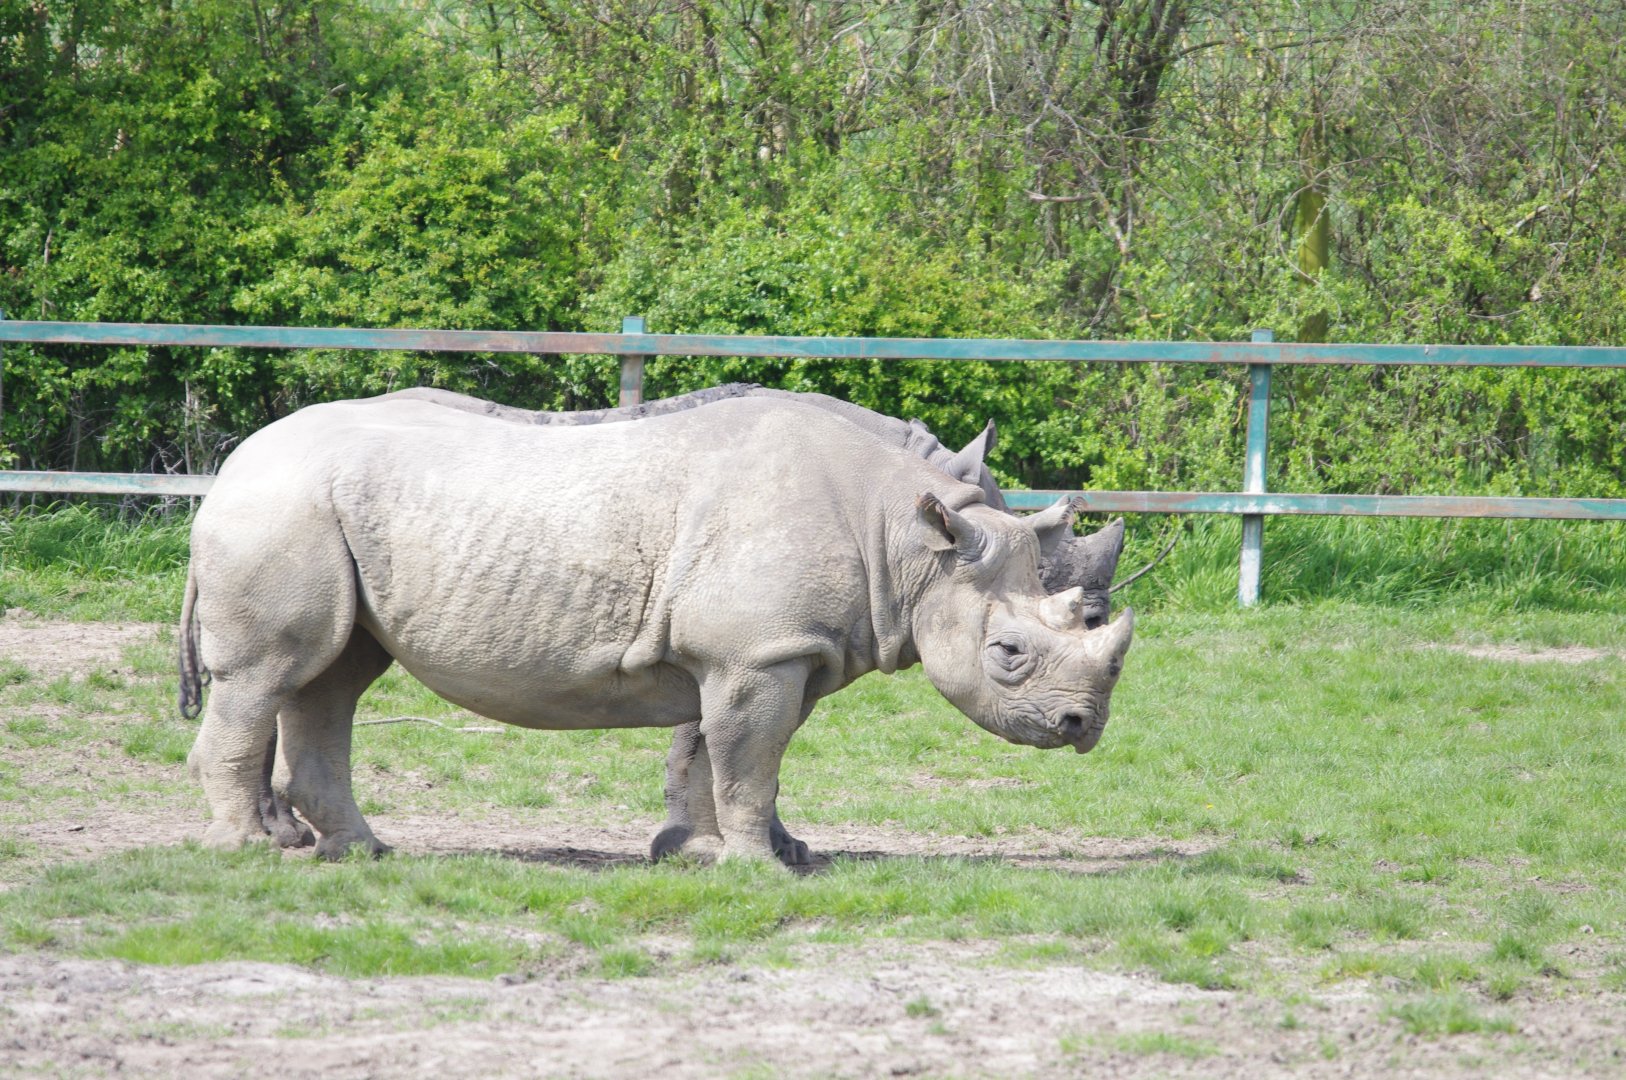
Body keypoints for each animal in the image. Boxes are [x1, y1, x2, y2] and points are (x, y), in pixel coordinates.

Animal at [179, 394, 1134, 862]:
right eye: (1007, 654)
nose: (1081, 726)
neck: (905, 544)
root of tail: (228, 466)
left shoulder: (770, 651)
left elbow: (726, 754)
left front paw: (722, 853)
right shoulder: (759, 652)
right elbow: (749, 759)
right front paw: (755, 867)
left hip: (321, 515)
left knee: (332, 677)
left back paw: (362, 853)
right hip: (281, 510)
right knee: (270, 674)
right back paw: (246, 852)